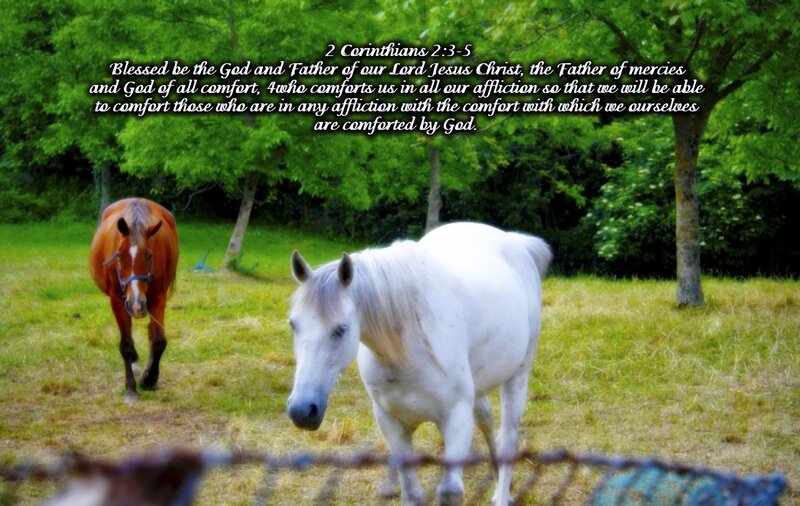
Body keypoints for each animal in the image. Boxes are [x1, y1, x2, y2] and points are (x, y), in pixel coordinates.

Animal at [89, 198, 179, 403]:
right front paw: (131, 388)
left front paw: (149, 378)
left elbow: (158, 341)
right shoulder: (118, 300)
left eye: (149, 255)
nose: (137, 304)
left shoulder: (157, 297)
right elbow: (126, 345)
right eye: (120, 254)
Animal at [287, 222, 551, 505]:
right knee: (486, 419)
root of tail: (515, 241)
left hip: (518, 376)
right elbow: (412, 492)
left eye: (341, 329)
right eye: (293, 324)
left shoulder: (456, 418)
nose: (302, 410)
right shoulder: (391, 422)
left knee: (508, 438)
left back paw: (502, 494)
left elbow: (450, 491)